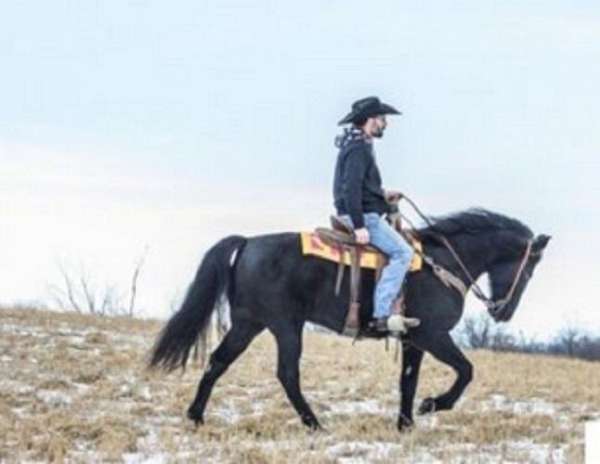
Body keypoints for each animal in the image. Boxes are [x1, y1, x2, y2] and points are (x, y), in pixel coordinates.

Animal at [149, 208, 548, 430]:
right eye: (530, 268)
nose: (503, 312)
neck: (441, 263)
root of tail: (248, 242)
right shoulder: (434, 335)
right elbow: (466, 371)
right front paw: (432, 405)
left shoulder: (413, 340)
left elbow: (408, 382)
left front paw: (405, 425)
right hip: (285, 327)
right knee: (287, 374)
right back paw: (314, 424)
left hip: (249, 324)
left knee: (218, 362)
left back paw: (196, 417)